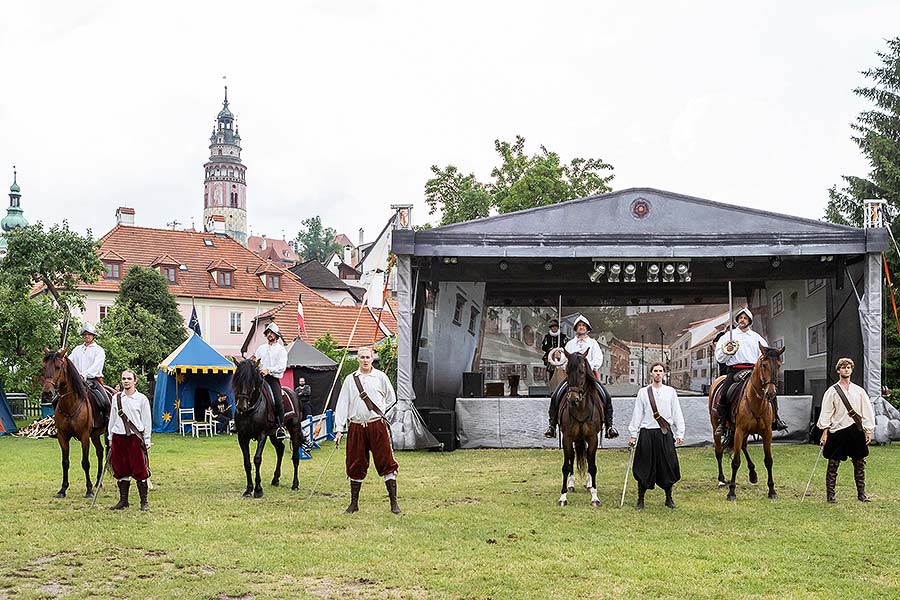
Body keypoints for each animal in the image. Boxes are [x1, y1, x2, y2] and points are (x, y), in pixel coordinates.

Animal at [42, 350, 109, 500]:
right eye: (44, 366)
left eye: (58, 367)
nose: (47, 393)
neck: (71, 404)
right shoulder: (62, 437)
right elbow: (65, 462)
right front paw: (62, 489)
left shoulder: (84, 437)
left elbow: (85, 463)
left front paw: (89, 490)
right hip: (95, 436)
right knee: (100, 452)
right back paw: (98, 482)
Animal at [230, 360, 304, 496]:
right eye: (236, 380)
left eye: (251, 381)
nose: (241, 406)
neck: (251, 410)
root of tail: (294, 394)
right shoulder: (242, 436)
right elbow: (247, 462)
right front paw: (248, 489)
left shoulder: (262, 434)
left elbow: (257, 459)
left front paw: (258, 490)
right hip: (274, 434)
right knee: (280, 449)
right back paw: (275, 479)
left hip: (294, 429)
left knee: (295, 456)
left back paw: (295, 484)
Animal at [556, 346, 604, 506]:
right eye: (567, 371)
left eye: (582, 371)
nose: (573, 399)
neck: (581, 408)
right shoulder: (567, 437)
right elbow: (566, 466)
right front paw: (563, 497)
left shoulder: (593, 438)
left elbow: (592, 466)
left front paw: (595, 497)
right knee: (572, 457)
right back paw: (571, 484)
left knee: (588, 458)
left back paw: (589, 485)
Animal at [708, 342, 784, 502]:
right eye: (764, 365)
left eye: (779, 365)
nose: (770, 393)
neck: (756, 401)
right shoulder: (739, 430)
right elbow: (736, 462)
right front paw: (731, 492)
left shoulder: (766, 433)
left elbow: (768, 460)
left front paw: (772, 490)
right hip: (716, 427)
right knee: (719, 451)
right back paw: (721, 479)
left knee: (743, 446)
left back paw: (753, 474)